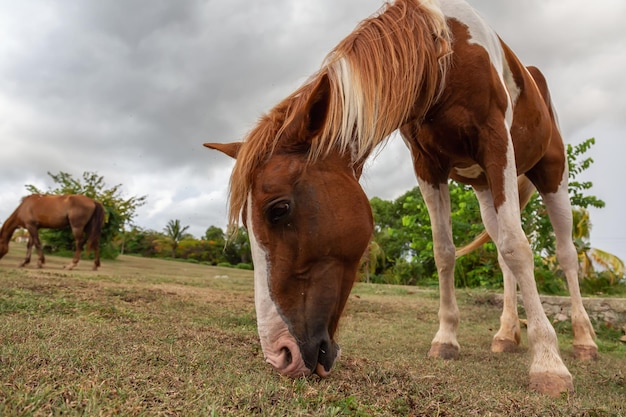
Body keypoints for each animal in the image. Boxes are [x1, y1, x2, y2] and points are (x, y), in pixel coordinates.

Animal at [206, 0, 596, 396]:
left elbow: (518, 247)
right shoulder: (427, 166)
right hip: (486, 187)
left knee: (565, 255)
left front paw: (548, 362)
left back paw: (583, 341)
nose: (279, 355)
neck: (444, 54)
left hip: (551, 173)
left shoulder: (495, 142)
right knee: (502, 256)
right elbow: (445, 253)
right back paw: (505, 334)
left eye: (279, 209)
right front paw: (446, 339)